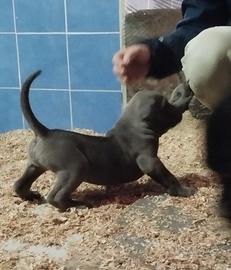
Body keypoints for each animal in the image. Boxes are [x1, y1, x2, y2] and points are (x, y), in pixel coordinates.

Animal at [14, 71, 194, 211]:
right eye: (167, 104)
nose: (185, 86)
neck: (133, 125)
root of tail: (44, 132)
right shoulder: (149, 161)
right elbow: (168, 176)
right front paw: (182, 190)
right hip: (76, 168)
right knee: (55, 197)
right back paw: (77, 205)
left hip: (34, 166)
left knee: (18, 185)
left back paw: (31, 196)